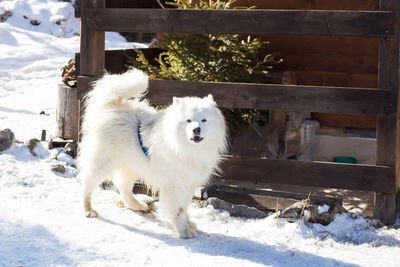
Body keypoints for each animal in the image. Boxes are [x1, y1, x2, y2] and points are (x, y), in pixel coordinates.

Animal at [78, 68, 228, 239]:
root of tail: (112, 105)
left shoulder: (189, 183)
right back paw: (88, 210)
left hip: (131, 164)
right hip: (104, 163)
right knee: (88, 183)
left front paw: (189, 224)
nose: (196, 129)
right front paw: (183, 230)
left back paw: (136, 205)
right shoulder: (174, 185)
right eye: (188, 121)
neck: (184, 147)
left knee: (123, 187)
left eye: (204, 120)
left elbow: (185, 208)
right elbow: (178, 210)